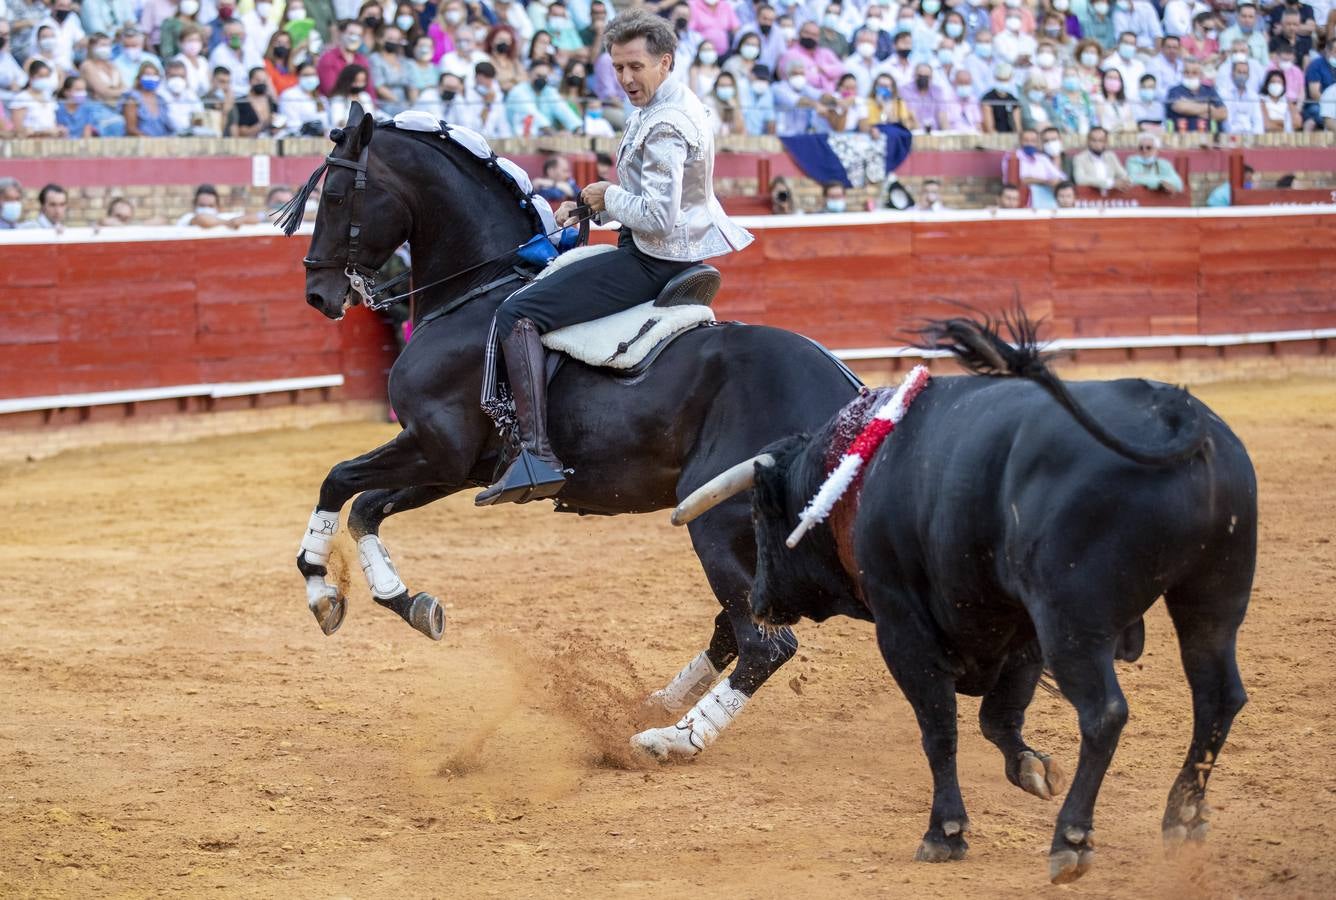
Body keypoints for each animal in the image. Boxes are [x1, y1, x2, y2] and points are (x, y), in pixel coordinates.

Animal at [289, 105, 855, 747]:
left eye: (335, 196)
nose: (318, 293)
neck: (476, 294)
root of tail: (848, 392)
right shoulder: (461, 468)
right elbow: (366, 508)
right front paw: (406, 601)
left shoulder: (436, 448)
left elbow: (338, 478)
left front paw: (320, 588)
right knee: (739, 629)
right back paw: (660, 704)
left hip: (715, 520)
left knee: (764, 643)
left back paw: (671, 740)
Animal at [678, 315, 1250, 881]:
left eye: (758, 513)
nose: (757, 600)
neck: (858, 475)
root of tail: (1173, 416)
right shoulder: (1020, 632)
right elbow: (997, 717)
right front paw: (1032, 768)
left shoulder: (904, 630)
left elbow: (939, 729)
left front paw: (945, 832)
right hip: (1212, 601)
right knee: (1218, 697)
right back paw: (1183, 818)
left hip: (1073, 624)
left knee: (1104, 713)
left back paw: (1071, 839)